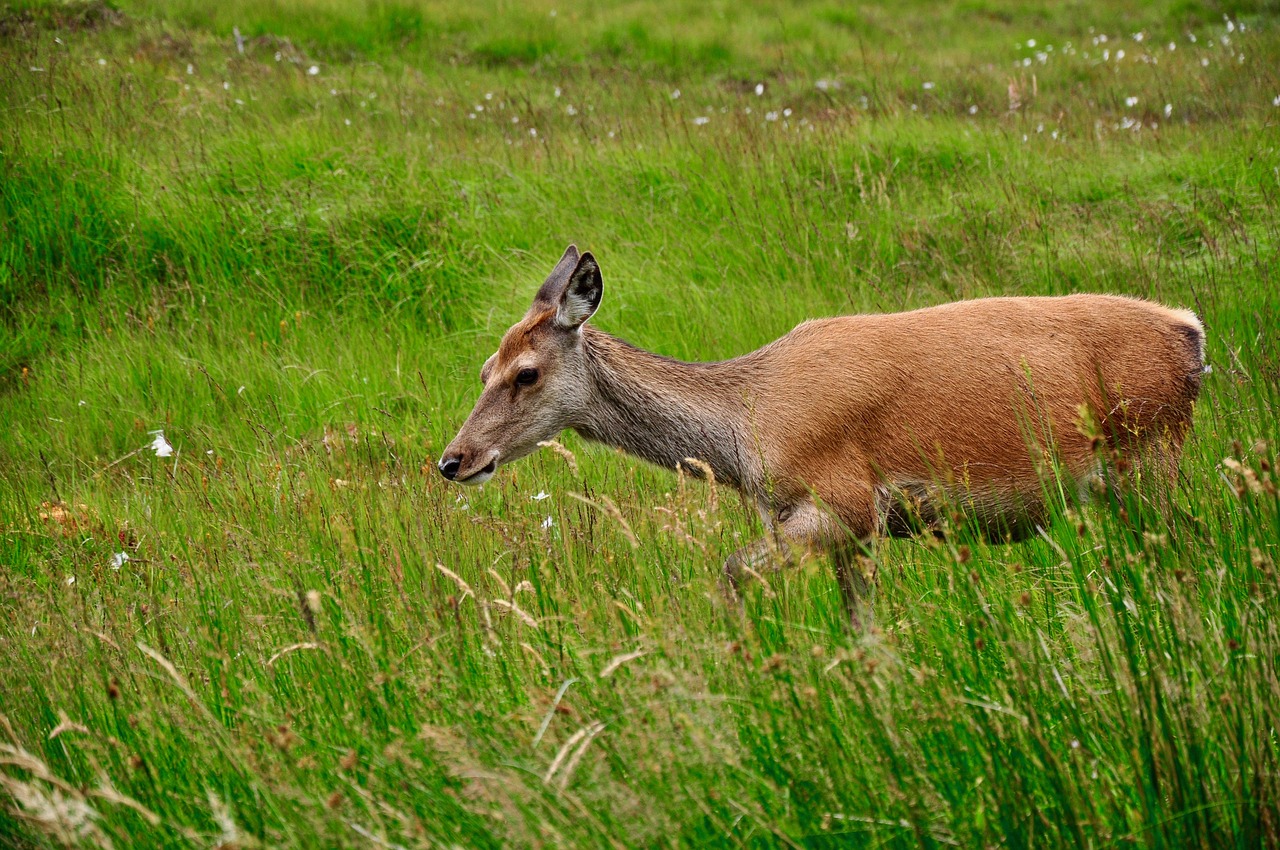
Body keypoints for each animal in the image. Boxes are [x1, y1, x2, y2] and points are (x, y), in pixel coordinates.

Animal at [435, 245, 1203, 624]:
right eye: (482, 368)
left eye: (526, 373)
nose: (454, 460)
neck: (743, 431)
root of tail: (1191, 333)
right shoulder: (856, 534)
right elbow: (863, 629)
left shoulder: (844, 500)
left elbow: (729, 571)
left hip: (1150, 458)